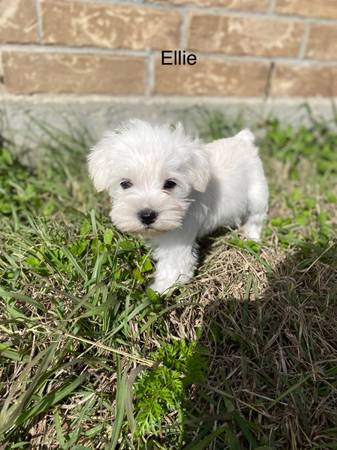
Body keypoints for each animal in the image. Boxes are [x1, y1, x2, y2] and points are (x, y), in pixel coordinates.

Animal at [87, 118, 268, 292]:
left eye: (170, 184)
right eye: (125, 183)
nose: (147, 215)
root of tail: (242, 139)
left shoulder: (177, 243)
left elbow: (172, 271)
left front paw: (157, 291)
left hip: (257, 195)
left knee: (256, 218)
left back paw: (251, 237)